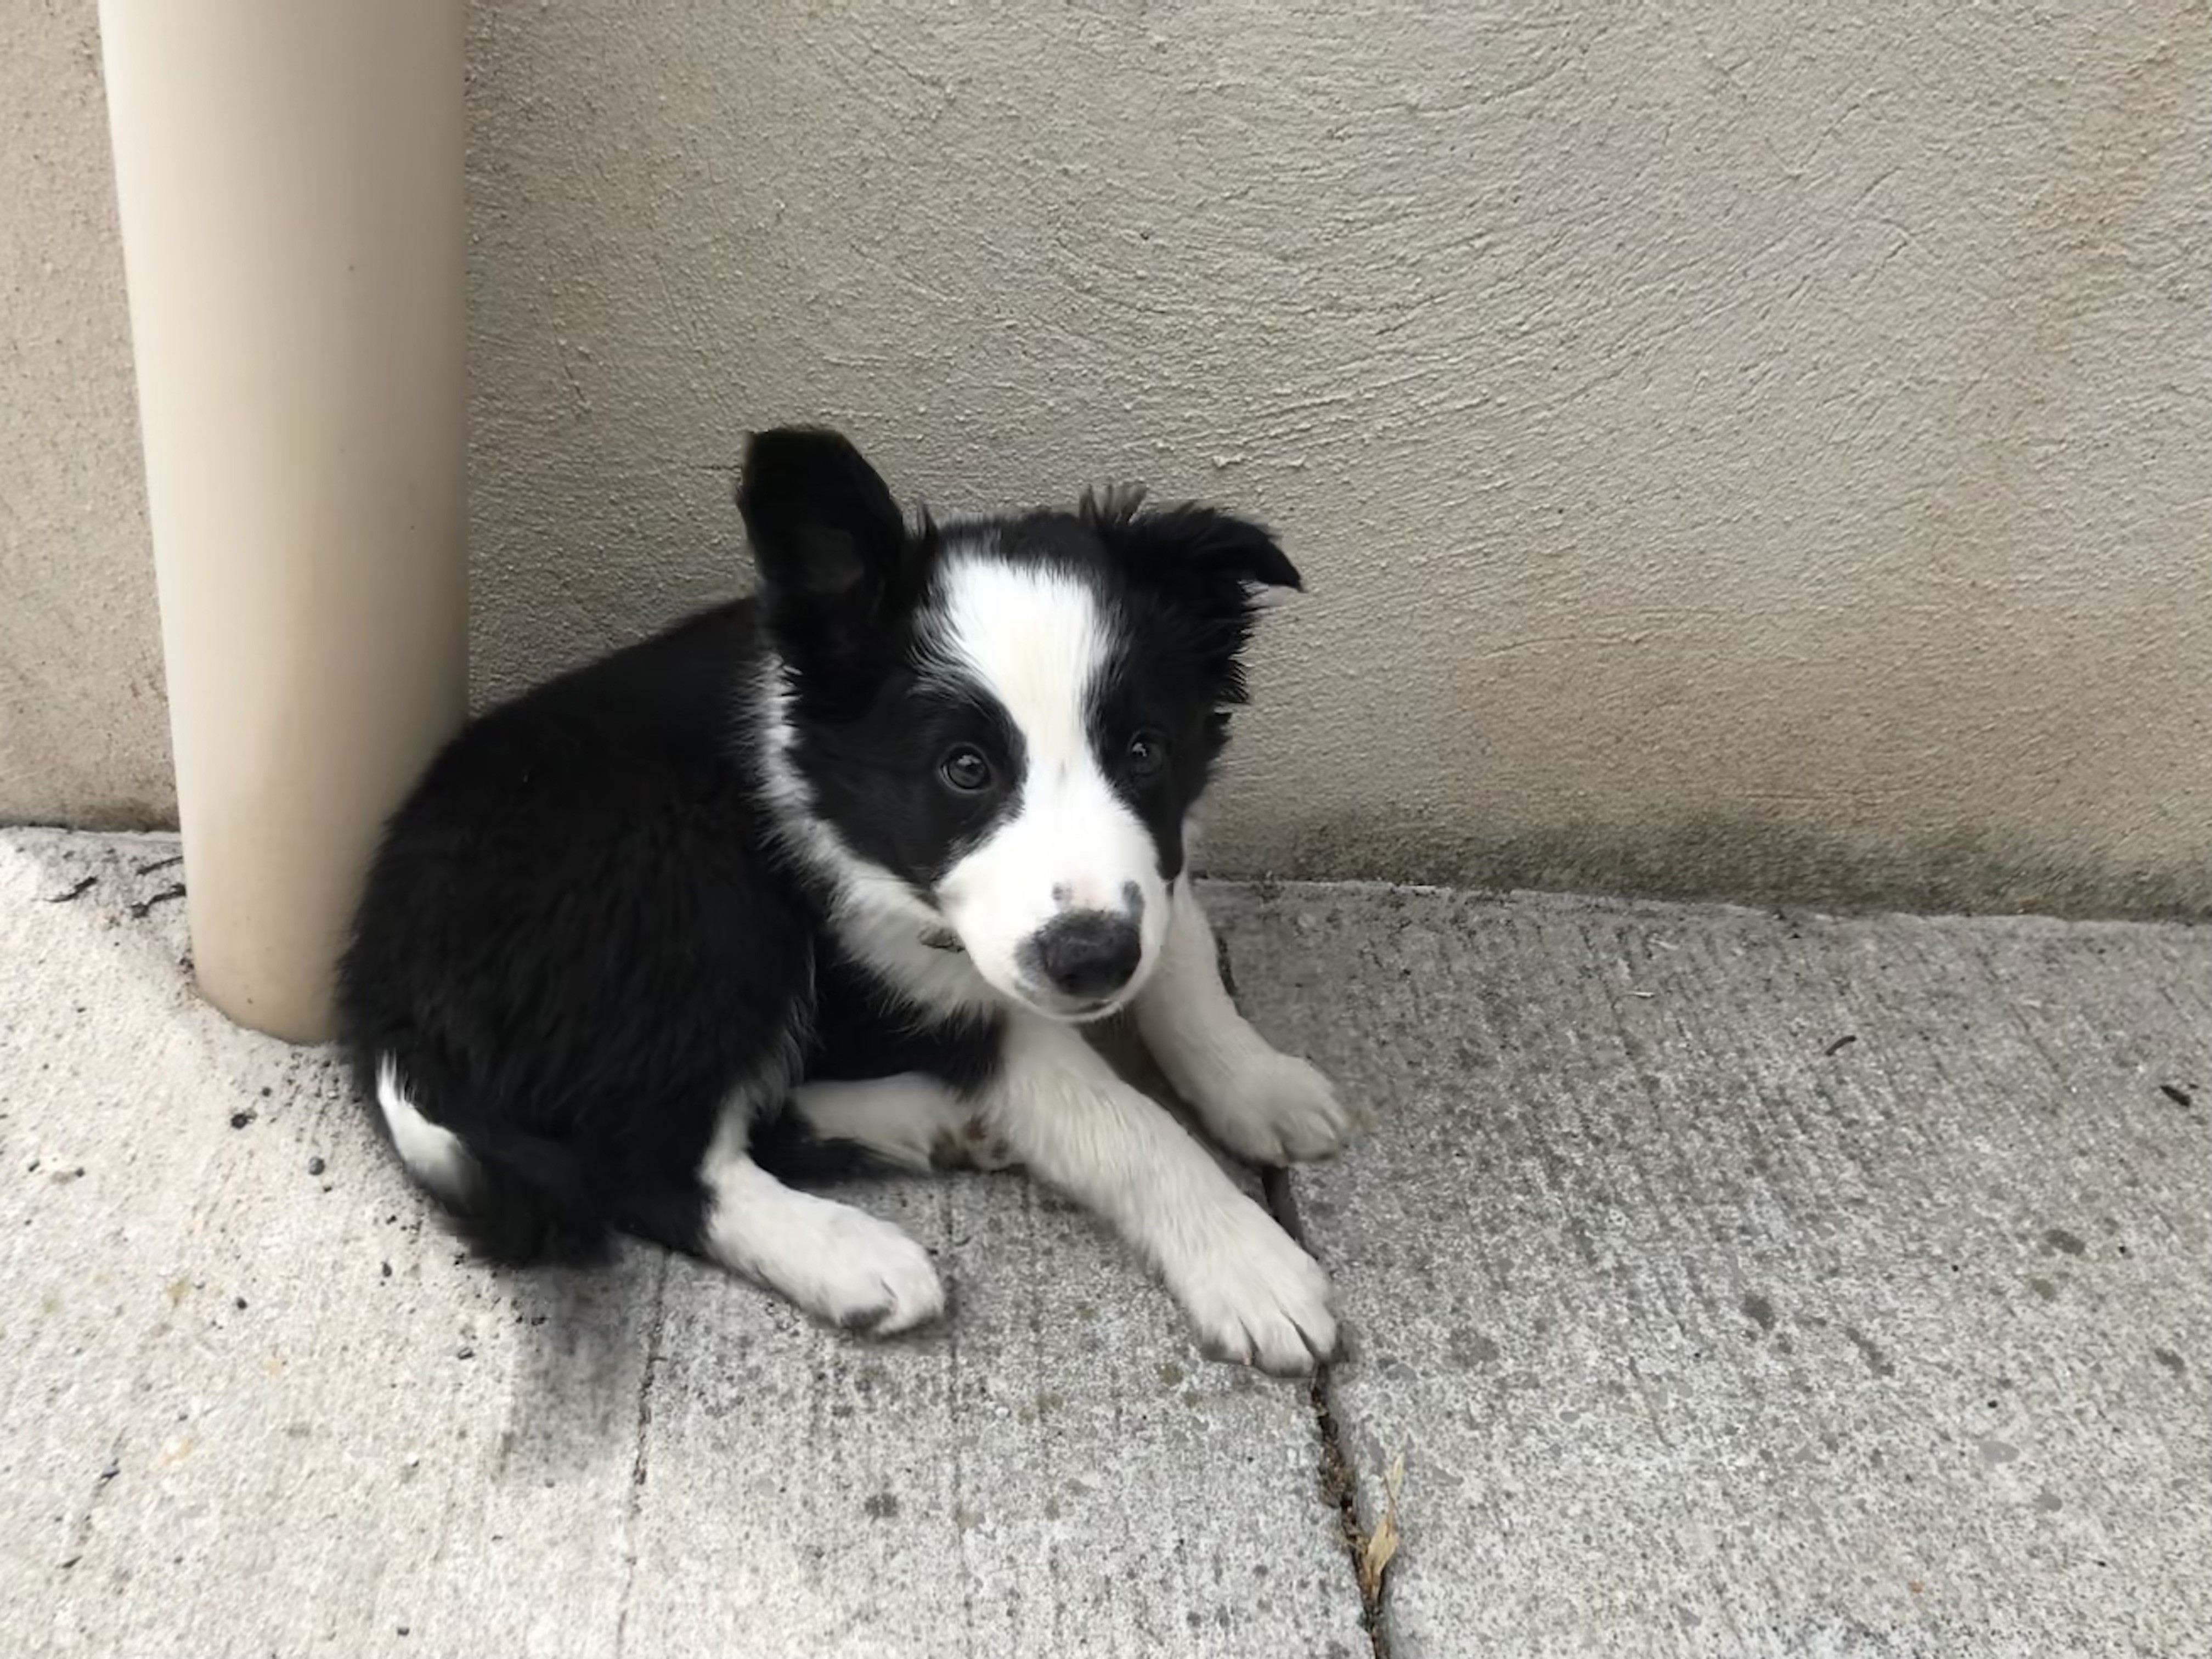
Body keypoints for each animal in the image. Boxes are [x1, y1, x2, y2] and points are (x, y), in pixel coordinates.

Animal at [338, 429, 1353, 1380]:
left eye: (1144, 751)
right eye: (965, 769)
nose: (1090, 960)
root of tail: (375, 979)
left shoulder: (1149, 867)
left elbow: (1182, 962)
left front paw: (1256, 1084)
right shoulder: (931, 985)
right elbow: (1122, 1123)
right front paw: (1244, 1257)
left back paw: (932, 1126)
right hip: (700, 887)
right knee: (650, 1166)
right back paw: (852, 1253)